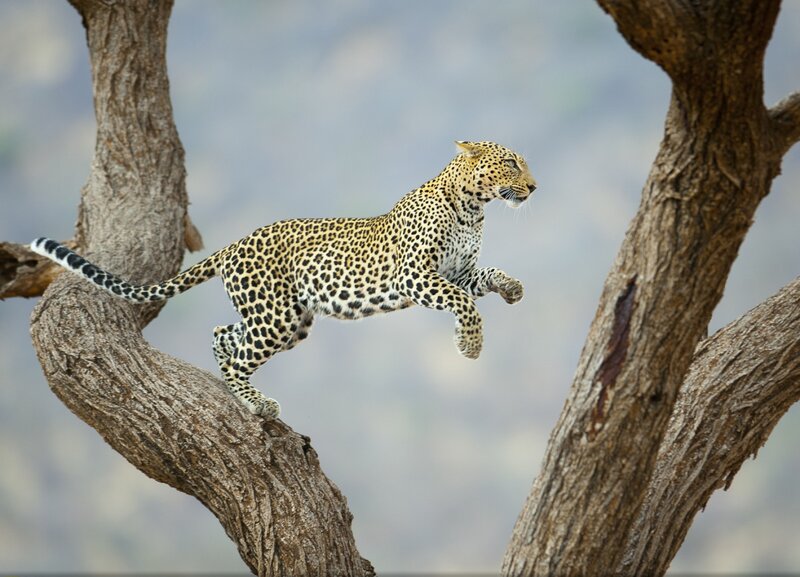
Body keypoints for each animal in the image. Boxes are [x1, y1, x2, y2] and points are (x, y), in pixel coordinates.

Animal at [31, 140, 537, 418]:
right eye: (513, 163)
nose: (534, 187)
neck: (473, 207)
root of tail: (234, 244)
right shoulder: (415, 275)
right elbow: (464, 304)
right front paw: (470, 345)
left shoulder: (458, 272)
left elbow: (485, 277)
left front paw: (513, 288)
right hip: (273, 317)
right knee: (237, 356)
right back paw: (255, 403)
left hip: (287, 319)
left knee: (223, 334)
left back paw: (238, 389)